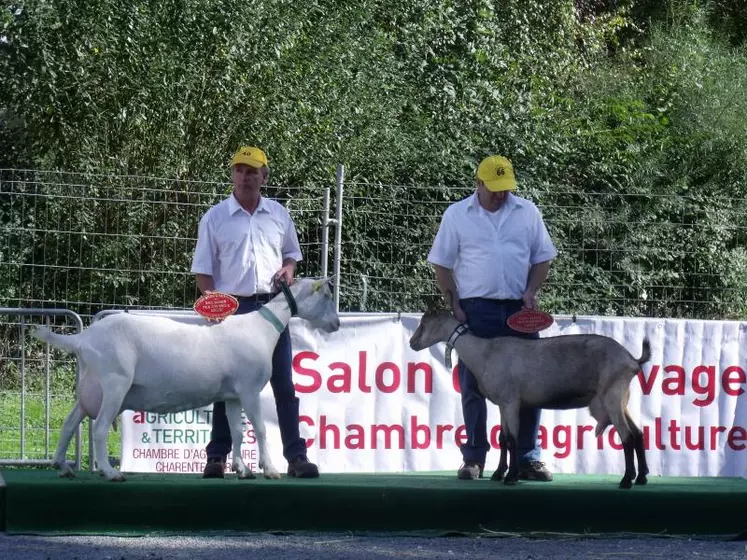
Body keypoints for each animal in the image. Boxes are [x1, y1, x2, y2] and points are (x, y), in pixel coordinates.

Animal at [32, 278, 340, 482]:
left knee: (70, 422)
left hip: (91, 385)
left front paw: (242, 469)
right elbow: (262, 430)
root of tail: (82, 339)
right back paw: (110, 472)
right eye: (326, 295)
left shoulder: (233, 395)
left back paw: (62, 466)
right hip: (114, 381)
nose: (336, 324)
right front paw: (271, 470)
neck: (262, 328)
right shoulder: (249, 389)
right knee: (99, 428)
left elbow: (238, 432)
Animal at [412, 308, 652, 488]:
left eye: (424, 324)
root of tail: (632, 360)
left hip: (612, 396)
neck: (484, 352)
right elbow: (502, 438)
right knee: (638, 433)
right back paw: (641, 477)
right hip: (622, 399)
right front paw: (498, 474)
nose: (413, 343)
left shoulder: (511, 401)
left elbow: (513, 439)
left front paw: (510, 477)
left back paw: (626, 480)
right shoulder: (503, 404)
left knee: (627, 436)